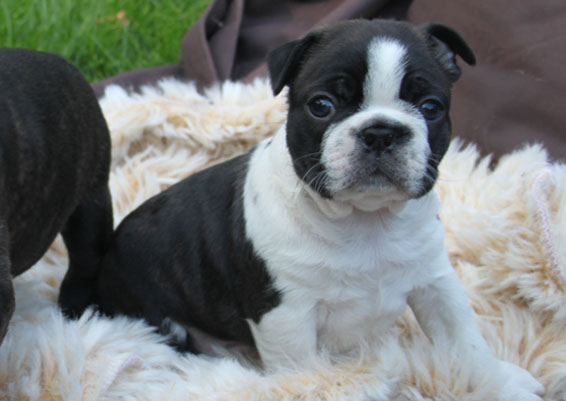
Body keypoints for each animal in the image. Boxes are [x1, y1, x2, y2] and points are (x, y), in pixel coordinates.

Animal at [94, 20, 544, 400]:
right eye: (322, 105)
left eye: (431, 107)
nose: (381, 131)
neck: (366, 221)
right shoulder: (287, 316)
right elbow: (306, 373)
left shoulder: (436, 284)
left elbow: (468, 344)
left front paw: (501, 382)